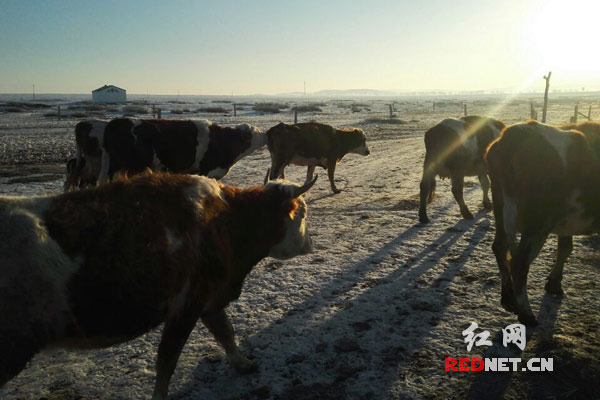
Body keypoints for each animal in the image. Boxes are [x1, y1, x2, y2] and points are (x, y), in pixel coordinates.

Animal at [101, 118, 264, 182]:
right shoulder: (208, 170)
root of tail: (117, 121)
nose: (265, 134)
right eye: (254, 132)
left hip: (113, 166)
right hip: (132, 166)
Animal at [488, 121, 600, 324]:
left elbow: (565, 248)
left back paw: (508, 299)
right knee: (519, 263)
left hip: (502, 209)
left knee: (500, 247)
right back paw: (526, 313)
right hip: (538, 223)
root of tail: (514, 135)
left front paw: (554, 284)